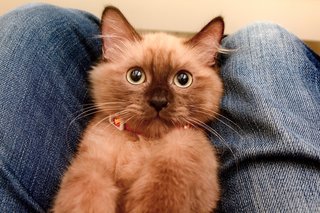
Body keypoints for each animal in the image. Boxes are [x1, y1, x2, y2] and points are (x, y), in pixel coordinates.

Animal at [52, 5, 224, 213]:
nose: (159, 102)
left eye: (183, 79)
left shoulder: (181, 151)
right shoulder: (92, 162)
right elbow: (87, 195)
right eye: (136, 76)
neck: (142, 141)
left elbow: (160, 194)